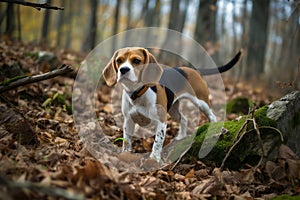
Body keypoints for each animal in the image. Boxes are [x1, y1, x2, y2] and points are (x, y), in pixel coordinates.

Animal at [102, 47, 241, 162]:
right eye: (119, 61)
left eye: (136, 60)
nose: (123, 70)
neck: (138, 93)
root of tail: (193, 70)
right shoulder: (129, 120)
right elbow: (126, 140)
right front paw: (125, 154)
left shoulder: (161, 121)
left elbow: (157, 142)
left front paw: (154, 159)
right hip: (173, 111)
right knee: (184, 119)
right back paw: (181, 136)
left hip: (201, 102)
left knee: (212, 116)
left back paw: (213, 128)